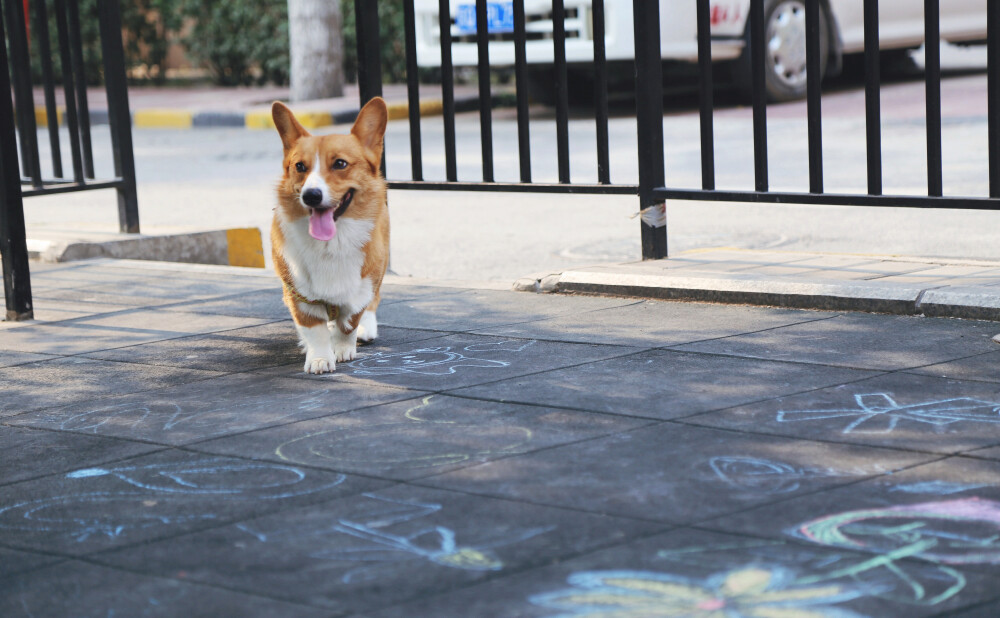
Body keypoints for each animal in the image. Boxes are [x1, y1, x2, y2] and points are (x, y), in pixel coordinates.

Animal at [272, 98, 388, 372]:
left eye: (340, 164)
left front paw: (343, 349)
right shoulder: (298, 293)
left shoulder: (362, 285)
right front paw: (319, 358)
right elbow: (314, 330)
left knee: (373, 300)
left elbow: (349, 323)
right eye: (300, 166)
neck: (331, 243)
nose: (311, 195)